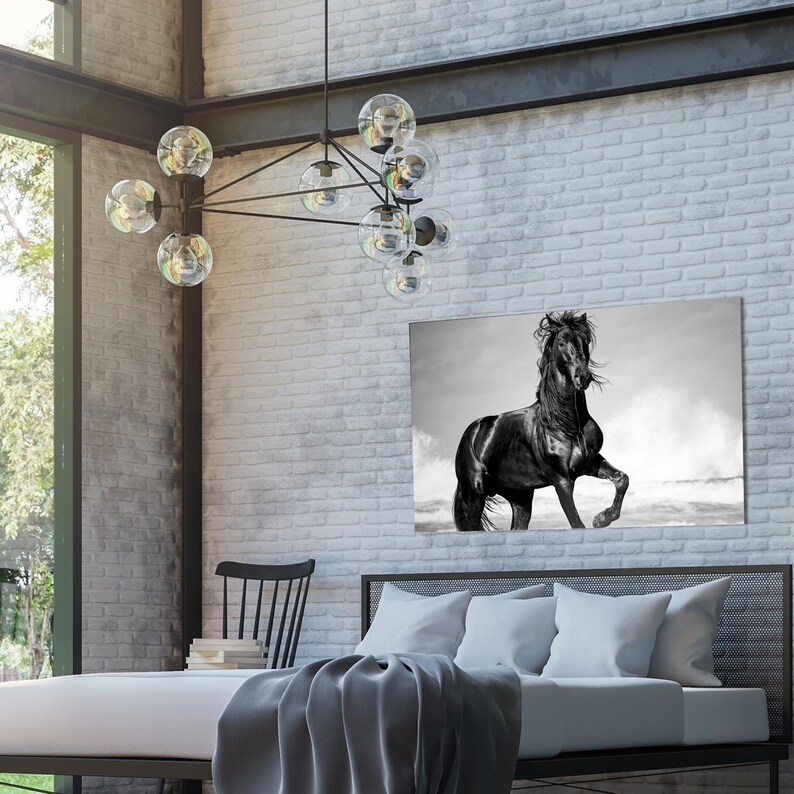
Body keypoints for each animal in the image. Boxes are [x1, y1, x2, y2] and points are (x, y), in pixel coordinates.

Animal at [452, 311, 629, 531]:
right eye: (561, 342)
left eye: (585, 341)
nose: (583, 377)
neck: (566, 425)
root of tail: (470, 433)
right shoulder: (562, 480)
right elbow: (576, 523)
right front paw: (600, 519)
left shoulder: (591, 463)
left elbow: (622, 479)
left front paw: (602, 518)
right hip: (475, 493)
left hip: (520, 498)